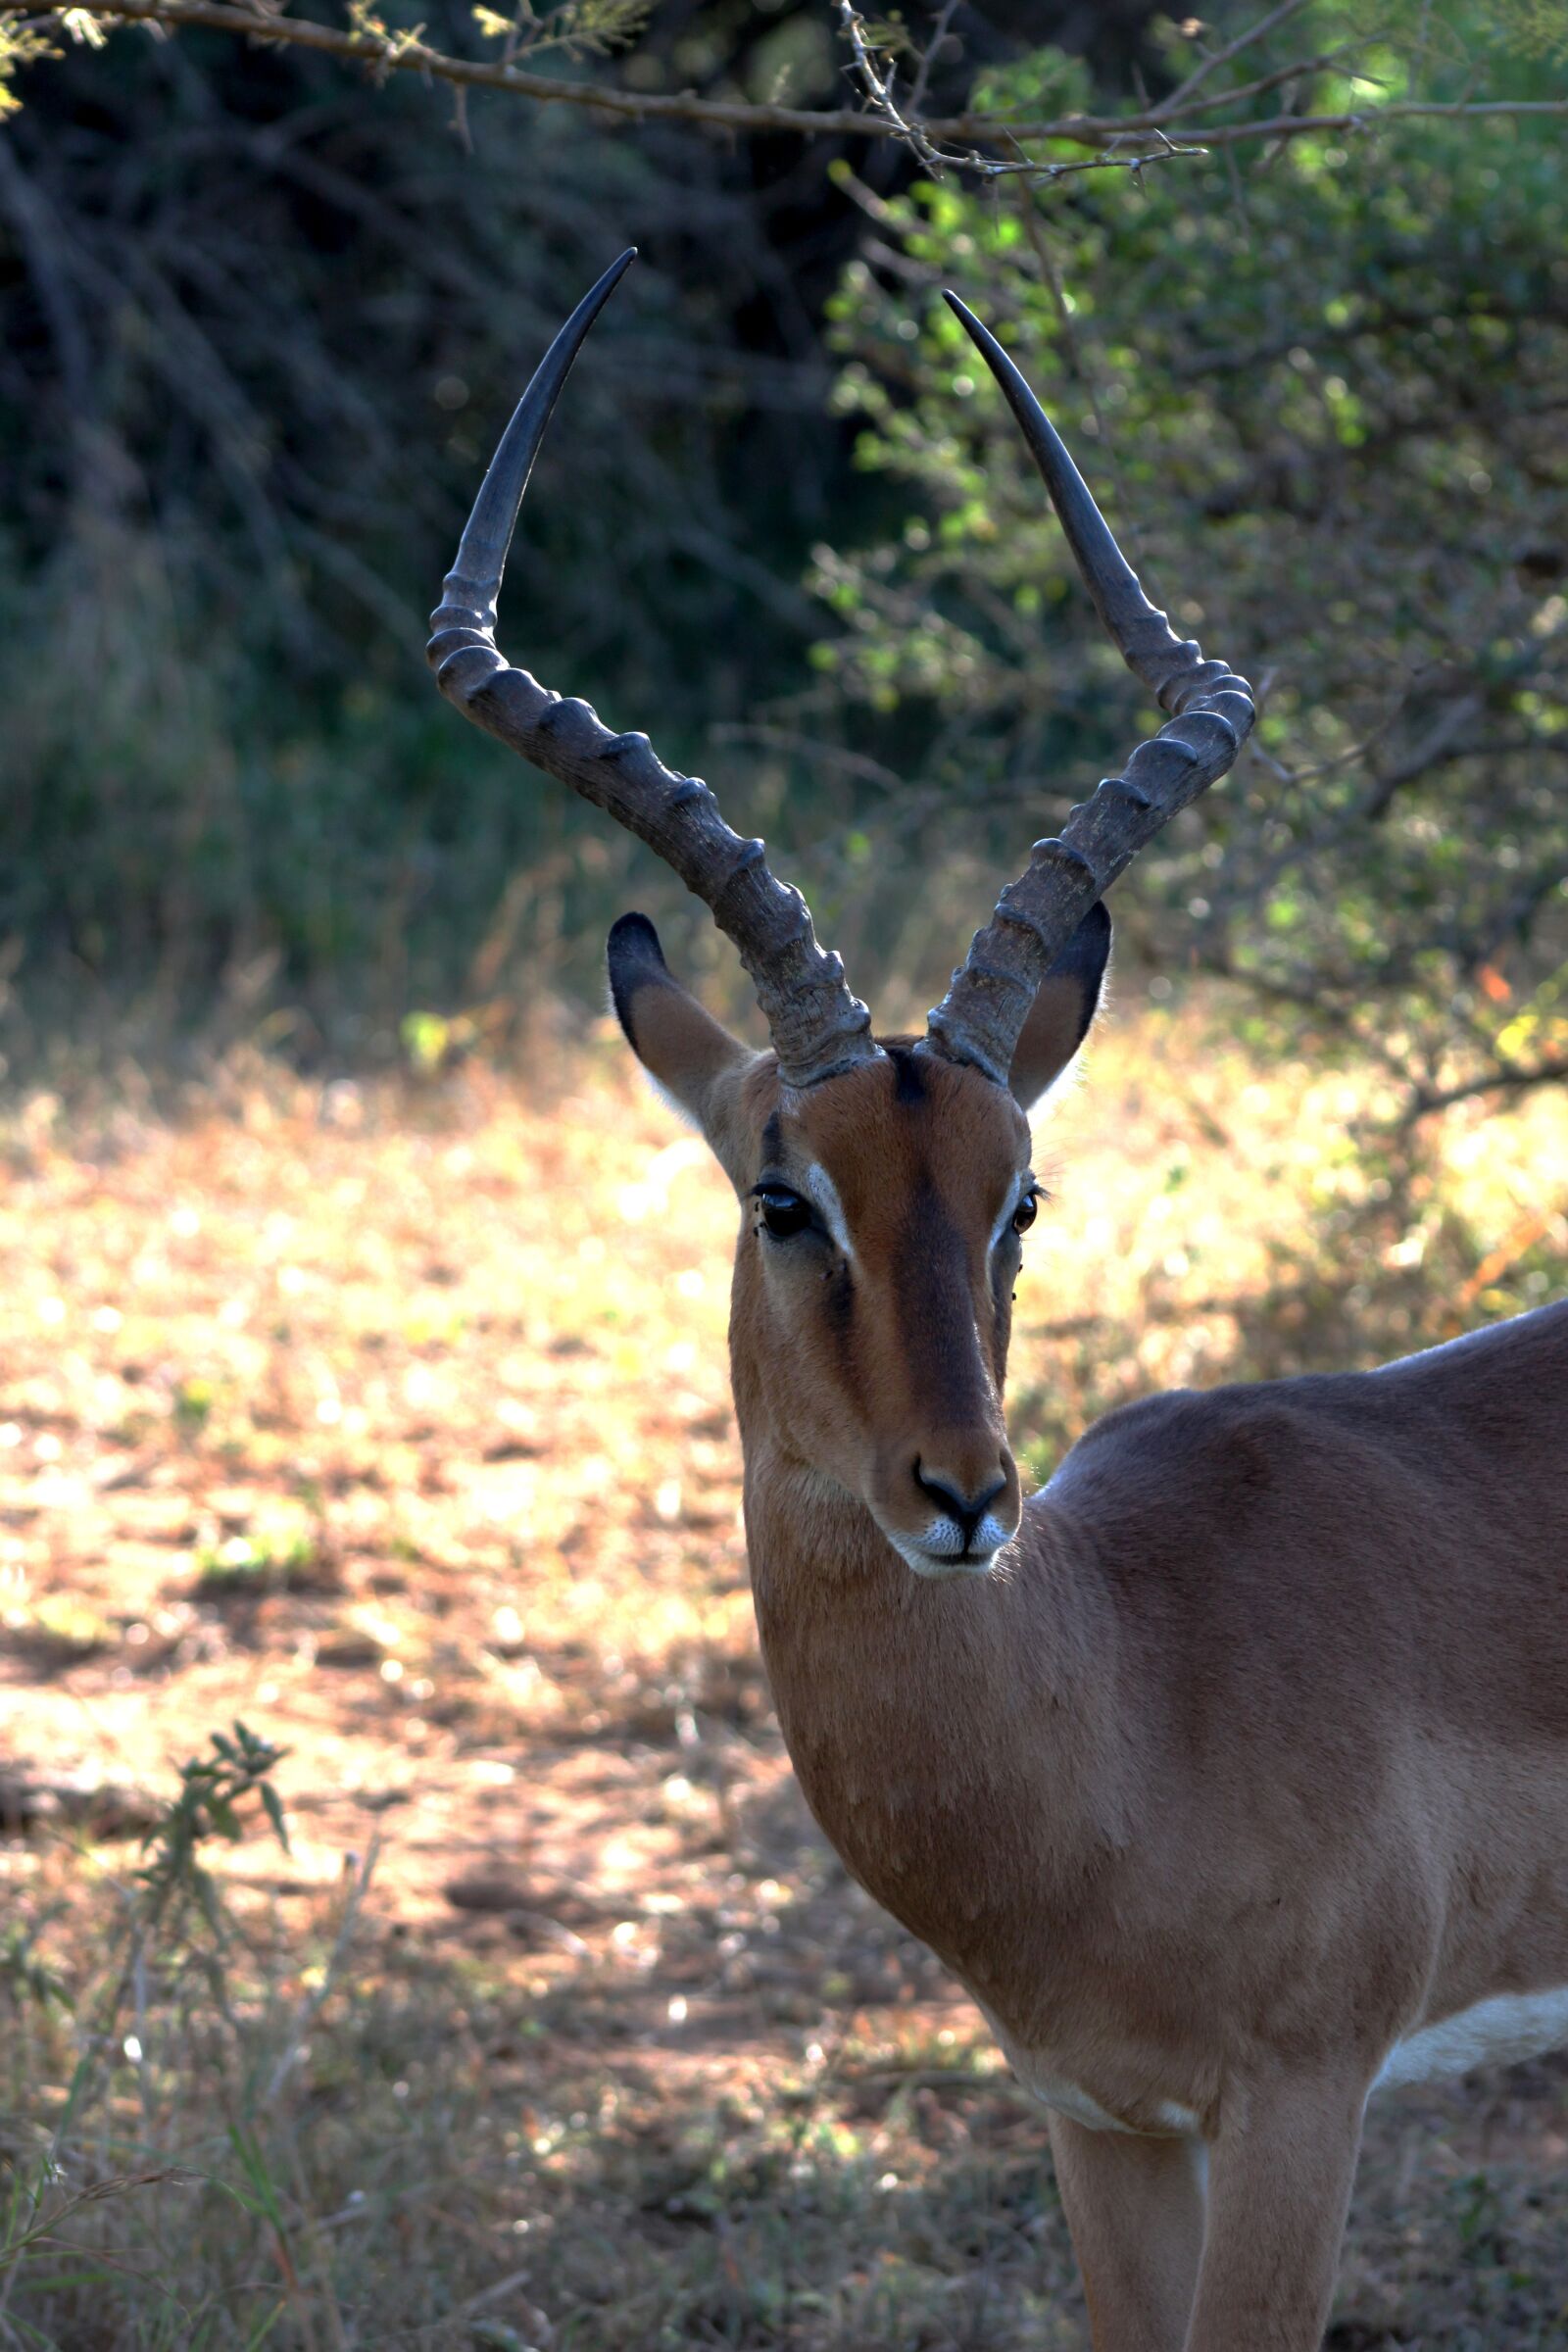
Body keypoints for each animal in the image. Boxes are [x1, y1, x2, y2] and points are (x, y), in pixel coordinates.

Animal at [428, 250, 1568, 2351]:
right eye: (783, 1198)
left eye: (1020, 1192)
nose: (963, 1493)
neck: (1116, 1693)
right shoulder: (1097, 2118)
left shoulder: (1302, 2104)